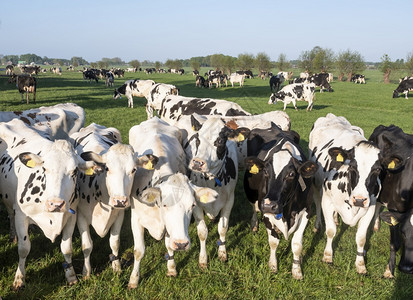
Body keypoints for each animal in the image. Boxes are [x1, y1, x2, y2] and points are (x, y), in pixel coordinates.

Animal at [0, 118, 100, 290]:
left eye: (74, 171)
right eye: (45, 169)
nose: (56, 204)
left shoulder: (70, 217)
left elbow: (67, 249)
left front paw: (71, 276)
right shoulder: (21, 216)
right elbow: (24, 249)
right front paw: (19, 278)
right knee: (10, 214)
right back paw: (13, 236)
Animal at [127, 116, 217, 288]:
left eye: (192, 205)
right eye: (165, 205)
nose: (182, 244)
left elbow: (169, 243)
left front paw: (171, 268)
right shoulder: (135, 219)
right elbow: (139, 251)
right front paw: (134, 280)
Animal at [243, 122, 318, 278]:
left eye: (291, 174)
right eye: (265, 172)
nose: (269, 205)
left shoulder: (306, 211)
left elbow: (297, 244)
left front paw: (297, 270)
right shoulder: (265, 212)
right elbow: (273, 241)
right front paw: (273, 266)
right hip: (251, 193)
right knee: (253, 208)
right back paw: (254, 224)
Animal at [308, 113, 382, 276]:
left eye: (378, 169)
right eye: (353, 167)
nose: (359, 200)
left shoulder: (370, 207)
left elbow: (361, 238)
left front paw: (360, 264)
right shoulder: (327, 201)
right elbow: (330, 231)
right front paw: (327, 256)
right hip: (315, 183)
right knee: (316, 201)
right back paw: (318, 225)